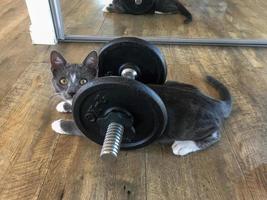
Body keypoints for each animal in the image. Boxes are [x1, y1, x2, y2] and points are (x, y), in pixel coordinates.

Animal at [50, 50, 232, 155]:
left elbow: (78, 126)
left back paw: (185, 146)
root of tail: (212, 102)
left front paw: (59, 124)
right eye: (63, 81)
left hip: (192, 126)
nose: (72, 92)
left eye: (83, 81)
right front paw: (64, 105)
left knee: (215, 134)